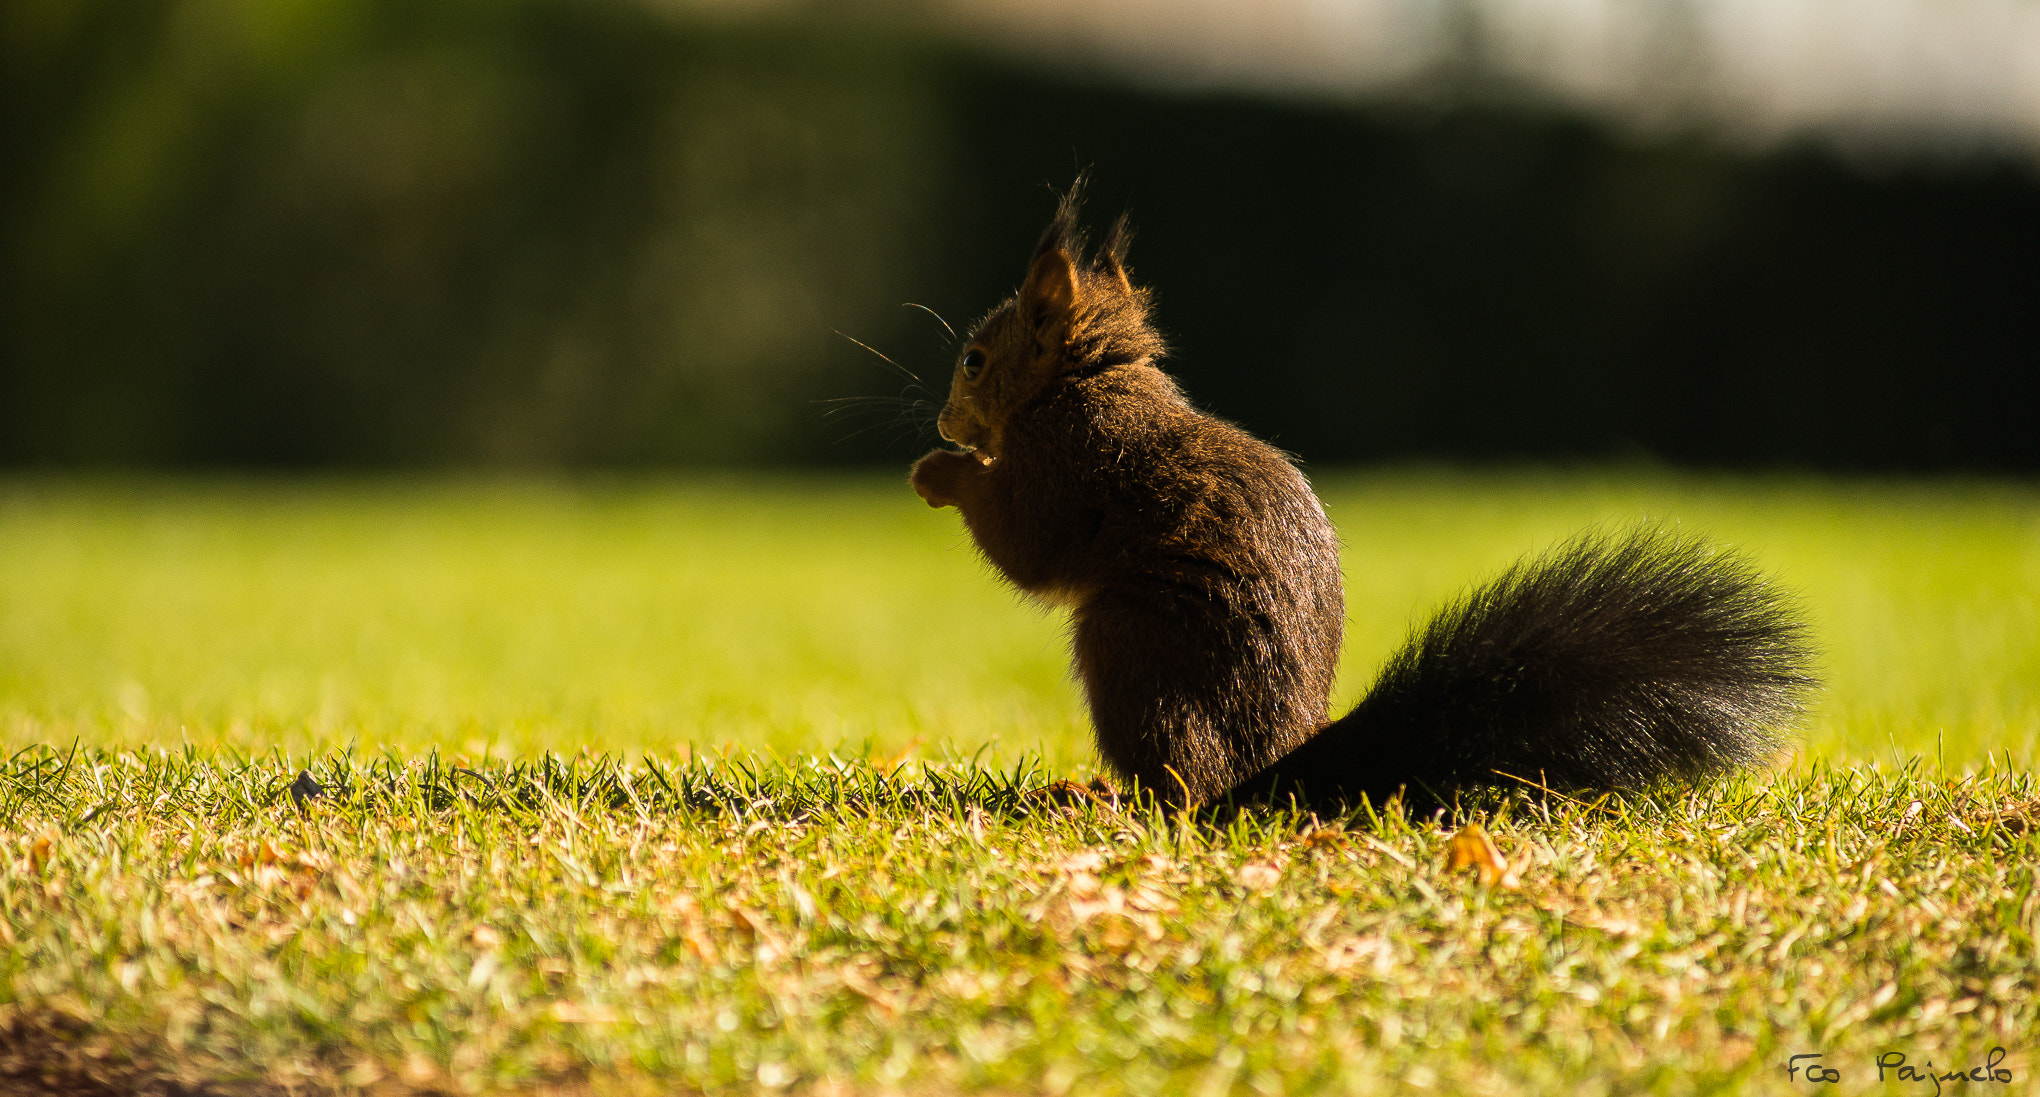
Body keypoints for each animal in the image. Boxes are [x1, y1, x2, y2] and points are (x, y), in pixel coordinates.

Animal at [910, 185, 1816, 813]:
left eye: (975, 362)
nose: (945, 420)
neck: (1090, 380)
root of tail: (1269, 776)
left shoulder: (1069, 464)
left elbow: (1028, 545)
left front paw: (941, 473)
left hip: (1129, 647)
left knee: (1184, 790)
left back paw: (1107, 801)